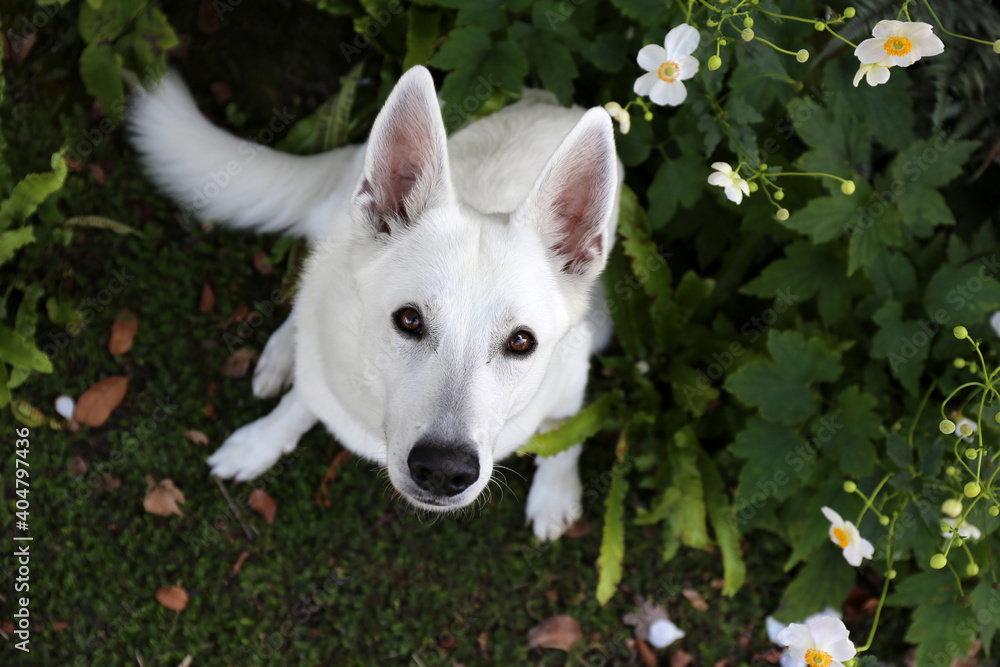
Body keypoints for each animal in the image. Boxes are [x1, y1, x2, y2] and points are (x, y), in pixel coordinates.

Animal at [129, 65, 620, 540]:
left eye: (521, 342)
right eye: (409, 319)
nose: (444, 471)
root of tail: (551, 102)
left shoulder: (571, 376)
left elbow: (565, 434)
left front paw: (555, 493)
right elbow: (298, 405)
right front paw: (260, 442)